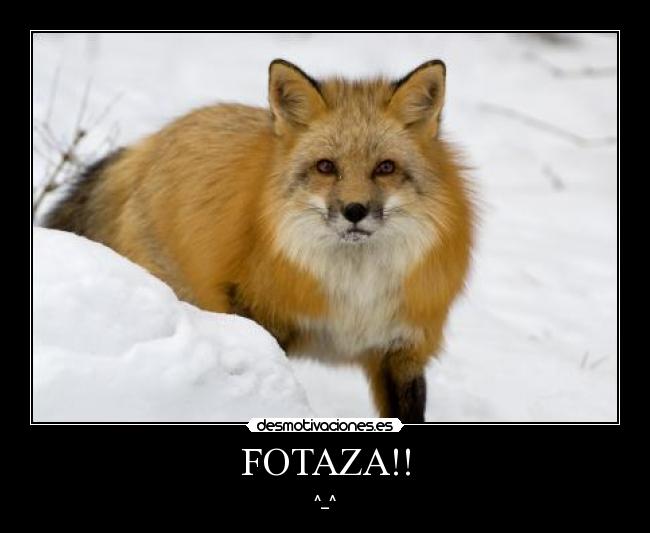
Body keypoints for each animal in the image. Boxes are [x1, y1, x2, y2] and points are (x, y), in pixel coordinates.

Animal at [42, 59, 475, 422]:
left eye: (385, 168)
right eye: (326, 167)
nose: (355, 210)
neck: (355, 290)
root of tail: (154, 140)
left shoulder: (401, 350)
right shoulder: (260, 316)